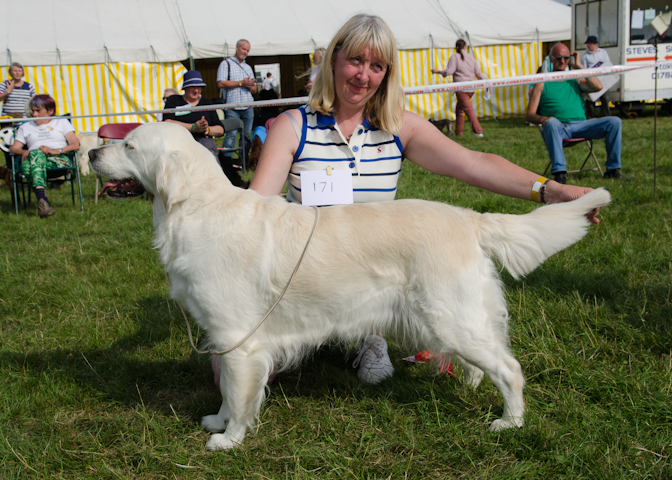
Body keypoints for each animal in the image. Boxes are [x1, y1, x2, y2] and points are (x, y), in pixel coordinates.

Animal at [90, 123, 616, 450]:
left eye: (130, 146)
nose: (92, 151)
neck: (193, 209)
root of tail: (470, 218)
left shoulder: (240, 340)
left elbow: (239, 395)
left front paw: (229, 439)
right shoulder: (224, 337)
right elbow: (226, 393)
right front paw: (218, 421)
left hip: (452, 317)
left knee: (510, 368)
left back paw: (510, 421)